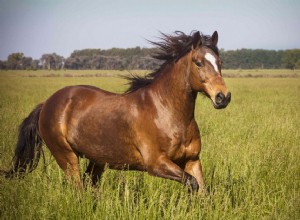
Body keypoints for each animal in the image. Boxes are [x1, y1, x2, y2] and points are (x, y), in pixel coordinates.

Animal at [2, 30, 231, 192]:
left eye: (220, 62)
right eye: (198, 62)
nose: (223, 97)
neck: (167, 113)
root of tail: (46, 104)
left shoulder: (192, 160)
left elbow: (202, 190)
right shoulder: (157, 164)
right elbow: (192, 184)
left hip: (97, 160)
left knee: (90, 187)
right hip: (66, 157)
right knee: (78, 190)